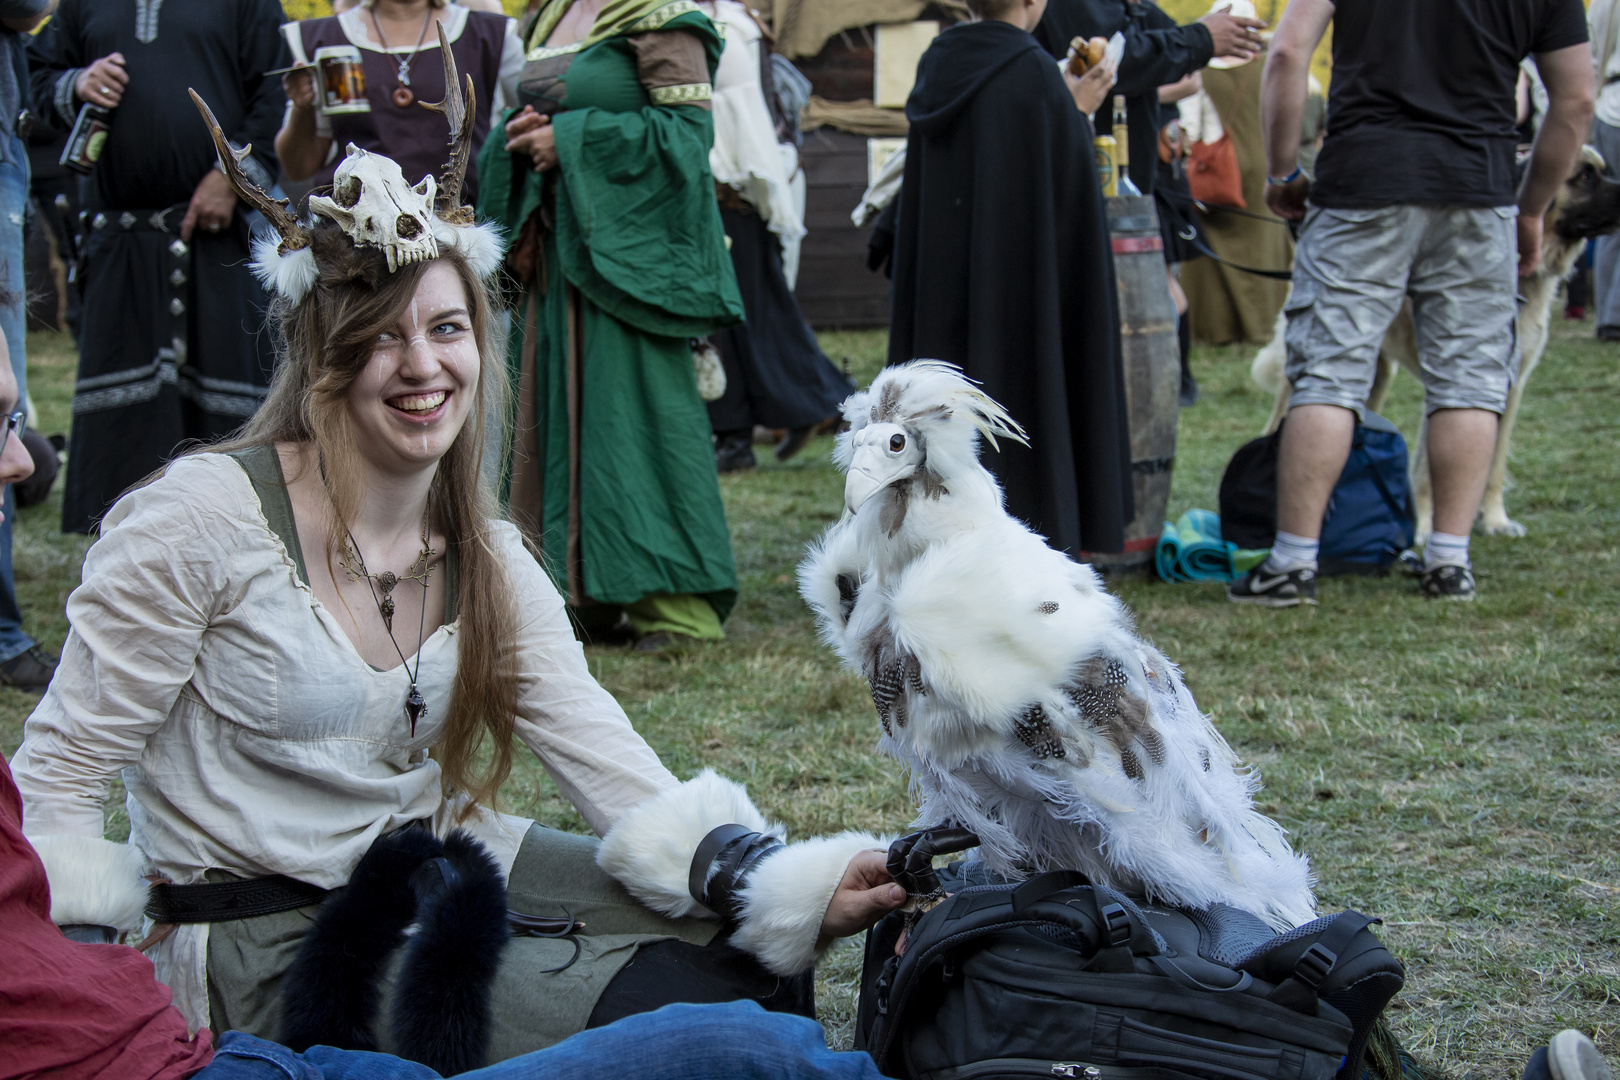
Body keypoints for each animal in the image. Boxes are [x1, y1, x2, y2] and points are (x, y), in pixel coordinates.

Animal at [1257, 145, 1620, 540]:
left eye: (1602, 170)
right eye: (1584, 176)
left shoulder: (1510, 385)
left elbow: (1494, 463)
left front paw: (1495, 520)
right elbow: (1432, 469)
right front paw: (1425, 528)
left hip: (1371, 376)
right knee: (1274, 428)